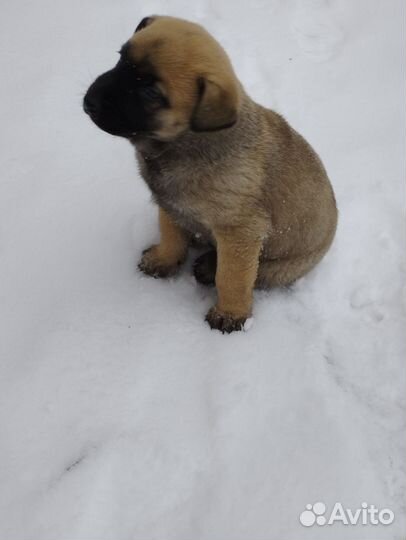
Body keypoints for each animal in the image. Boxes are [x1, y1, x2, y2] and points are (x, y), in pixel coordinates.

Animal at [82, 15, 336, 334]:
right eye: (121, 59)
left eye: (150, 93)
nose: (89, 102)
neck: (186, 144)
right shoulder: (170, 204)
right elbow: (170, 233)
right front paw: (163, 259)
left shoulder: (240, 231)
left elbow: (232, 277)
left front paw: (230, 314)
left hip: (284, 264)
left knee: (258, 272)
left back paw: (207, 266)